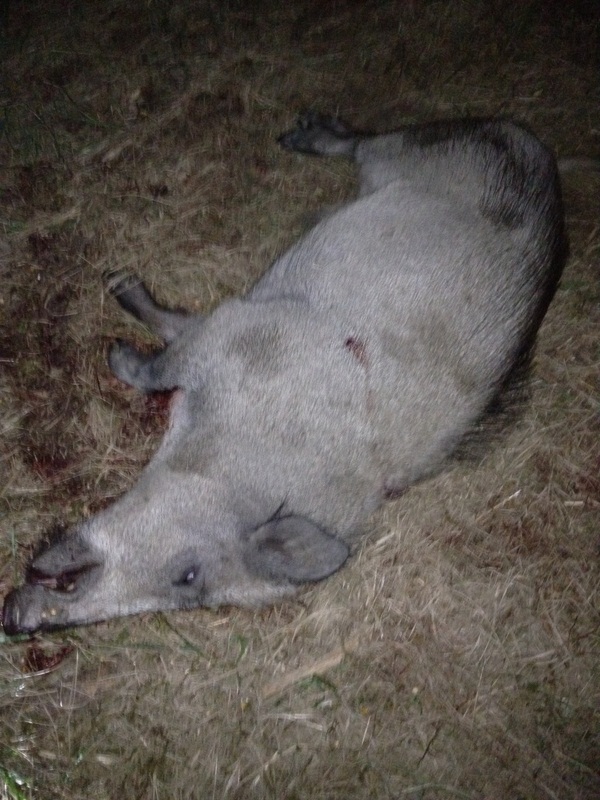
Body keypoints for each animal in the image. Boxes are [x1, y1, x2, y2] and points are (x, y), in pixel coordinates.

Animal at [2, 113, 567, 634]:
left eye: (187, 583)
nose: (15, 621)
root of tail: (531, 143)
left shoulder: (228, 333)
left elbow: (166, 352)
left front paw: (117, 344)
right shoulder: (240, 329)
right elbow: (165, 357)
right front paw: (117, 317)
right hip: (417, 150)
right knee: (365, 141)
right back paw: (297, 135)